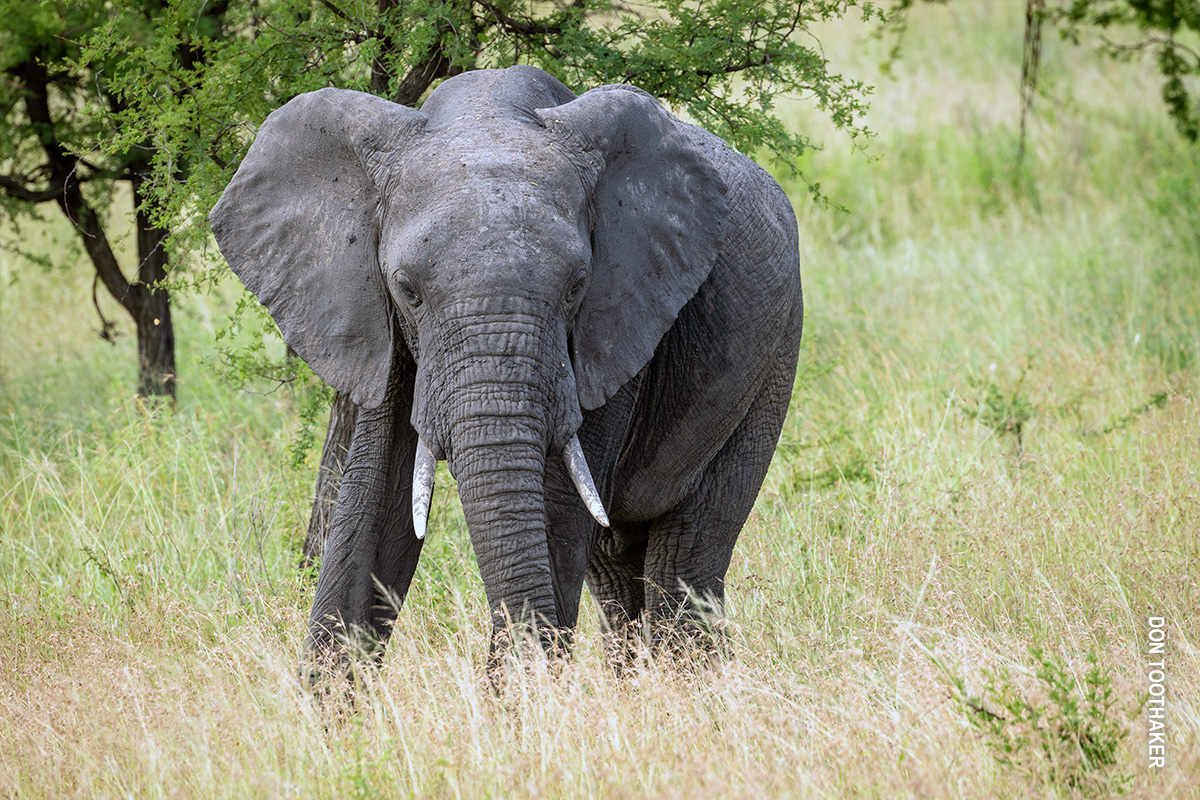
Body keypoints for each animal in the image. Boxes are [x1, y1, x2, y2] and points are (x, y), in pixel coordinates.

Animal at [210, 64, 801, 671]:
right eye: (407, 289)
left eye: (577, 286)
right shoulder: (379, 325)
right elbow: (375, 497)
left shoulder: (614, 324)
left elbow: (556, 506)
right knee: (616, 570)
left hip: (776, 353)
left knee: (686, 557)